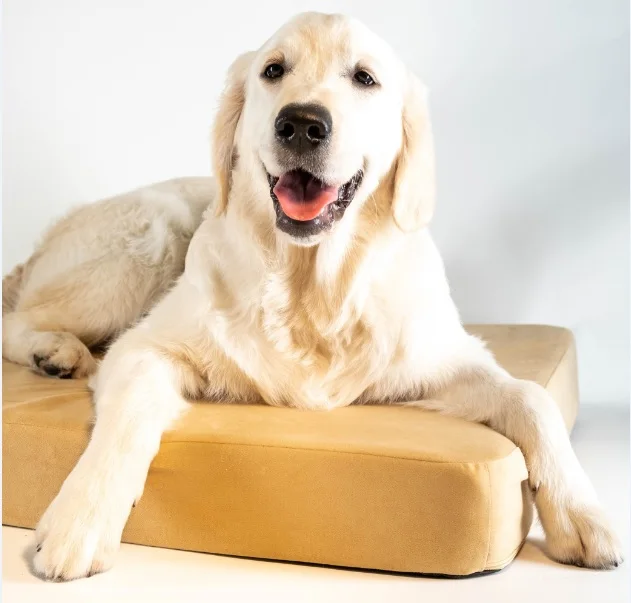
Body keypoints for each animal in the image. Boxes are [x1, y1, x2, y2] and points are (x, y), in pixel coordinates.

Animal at [3, 12, 621, 580]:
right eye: (273, 71)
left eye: (365, 78)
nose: (301, 124)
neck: (312, 287)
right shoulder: (144, 347)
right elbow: (129, 412)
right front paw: (80, 521)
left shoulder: (442, 358)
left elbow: (530, 398)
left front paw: (582, 514)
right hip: (149, 236)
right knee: (16, 318)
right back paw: (55, 351)